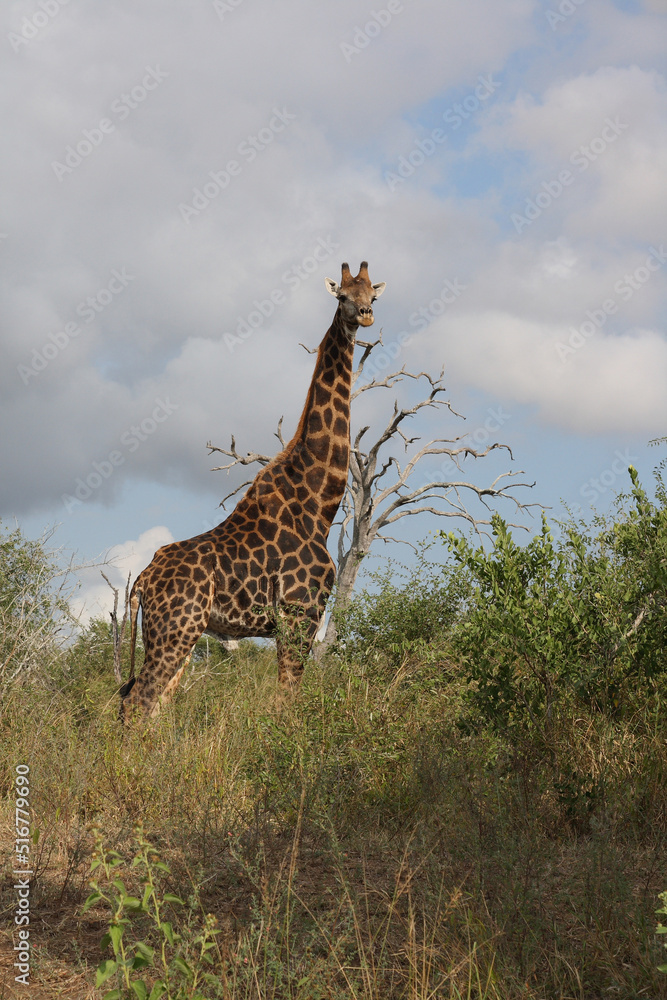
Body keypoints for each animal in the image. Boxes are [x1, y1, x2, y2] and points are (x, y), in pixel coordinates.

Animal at [119, 262, 386, 720]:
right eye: (342, 296)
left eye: (373, 294)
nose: (365, 315)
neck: (319, 504)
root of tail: (142, 580)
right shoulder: (300, 613)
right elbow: (287, 704)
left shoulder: (300, 619)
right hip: (177, 629)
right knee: (137, 704)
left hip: (168, 634)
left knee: (148, 707)